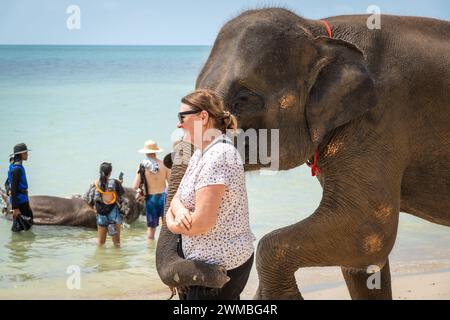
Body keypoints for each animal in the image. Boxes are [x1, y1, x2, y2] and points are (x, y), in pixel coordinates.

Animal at [157, 8, 450, 300]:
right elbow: (362, 262)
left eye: (245, 98)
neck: (317, 31)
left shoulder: (380, 120)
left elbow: (368, 230)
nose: (219, 274)